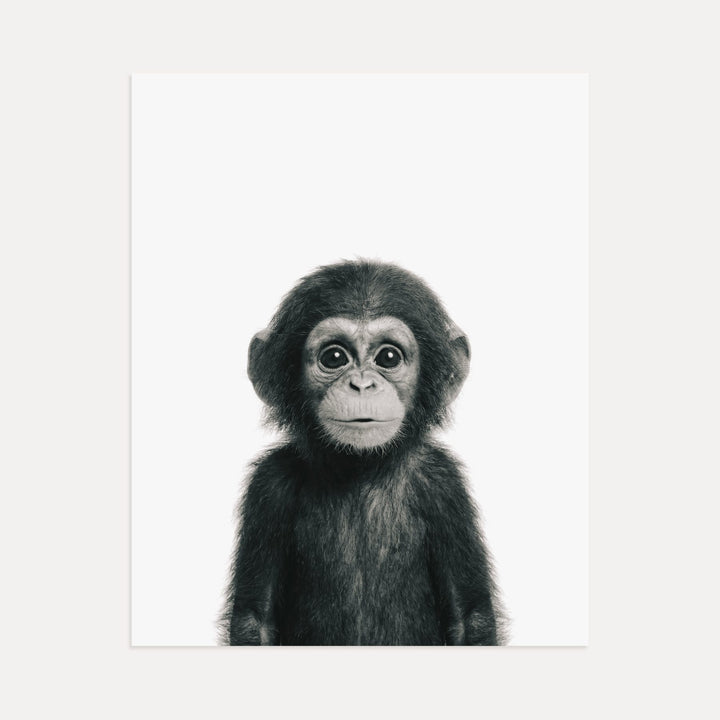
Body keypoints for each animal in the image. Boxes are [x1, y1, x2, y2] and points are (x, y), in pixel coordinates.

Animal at [219, 259, 507, 645]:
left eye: (388, 357)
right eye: (334, 357)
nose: (361, 384)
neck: (361, 467)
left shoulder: (444, 484)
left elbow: (470, 619)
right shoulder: (269, 485)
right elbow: (254, 620)